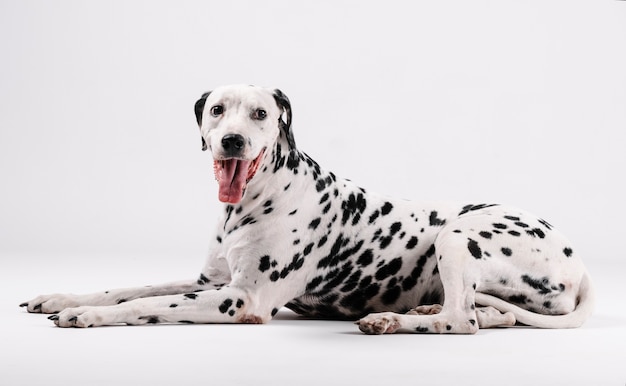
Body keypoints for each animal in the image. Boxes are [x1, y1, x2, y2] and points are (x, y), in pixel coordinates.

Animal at [19, 85, 592, 334]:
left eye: (260, 113)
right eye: (217, 109)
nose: (231, 140)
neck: (256, 198)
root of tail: (578, 262)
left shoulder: (239, 300)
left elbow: (144, 304)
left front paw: (89, 315)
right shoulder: (209, 282)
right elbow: (130, 288)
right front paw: (61, 297)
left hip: (457, 234)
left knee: (462, 321)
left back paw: (392, 321)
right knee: (487, 313)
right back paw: (423, 312)